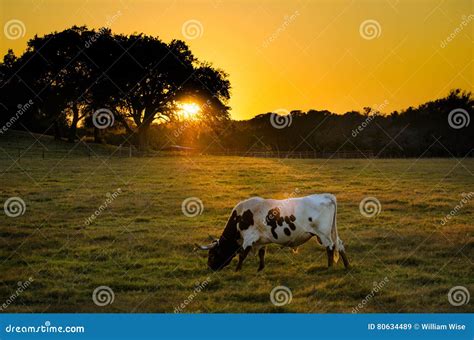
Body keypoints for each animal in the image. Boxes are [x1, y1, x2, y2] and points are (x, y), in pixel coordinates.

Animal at [194, 194, 350, 270]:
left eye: (212, 255)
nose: (210, 268)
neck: (240, 217)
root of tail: (325, 195)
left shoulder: (249, 238)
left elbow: (242, 255)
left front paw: (237, 270)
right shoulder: (261, 239)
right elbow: (262, 254)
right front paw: (260, 269)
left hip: (323, 234)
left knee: (330, 248)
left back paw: (329, 267)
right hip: (330, 233)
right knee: (340, 245)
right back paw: (347, 266)